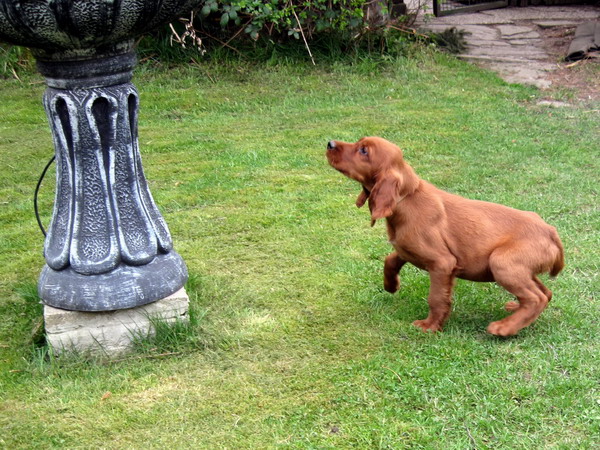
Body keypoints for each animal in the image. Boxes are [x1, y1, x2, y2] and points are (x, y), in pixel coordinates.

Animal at [326, 137, 564, 336]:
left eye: (363, 150)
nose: (329, 143)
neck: (407, 198)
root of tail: (550, 231)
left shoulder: (442, 263)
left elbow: (436, 298)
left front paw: (430, 326)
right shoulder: (405, 248)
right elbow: (390, 259)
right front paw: (391, 285)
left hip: (502, 262)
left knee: (536, 297)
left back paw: (504, 328)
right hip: (522, 267)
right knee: (545, 292)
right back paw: (515, 308)